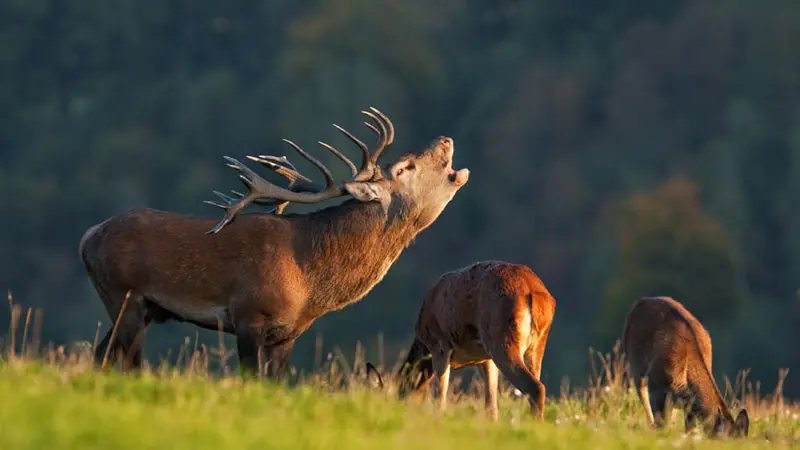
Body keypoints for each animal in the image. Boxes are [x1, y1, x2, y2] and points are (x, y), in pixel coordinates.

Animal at [78, 107, 470, 378]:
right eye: (404, 168)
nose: (445, 140)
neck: (309, 280)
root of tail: (87, 237)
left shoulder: (286, 334)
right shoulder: (248, 314)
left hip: (141, 308)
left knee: (101, 354)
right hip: (123, 295)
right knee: (124, 361)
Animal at [365, 260, 556, 420]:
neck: (421, 342)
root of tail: (535, 293)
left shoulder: (439, 345)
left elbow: (440, 398)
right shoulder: (486, 359)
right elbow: (491, 406)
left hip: (501, 338)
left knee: (535, 387)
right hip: (536, 344)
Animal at [622, 296, 750, 438]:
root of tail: (640, 301)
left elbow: (689, 428)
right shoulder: (656, 384)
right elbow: (660, 422)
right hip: (634, 362)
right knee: (643, 397)